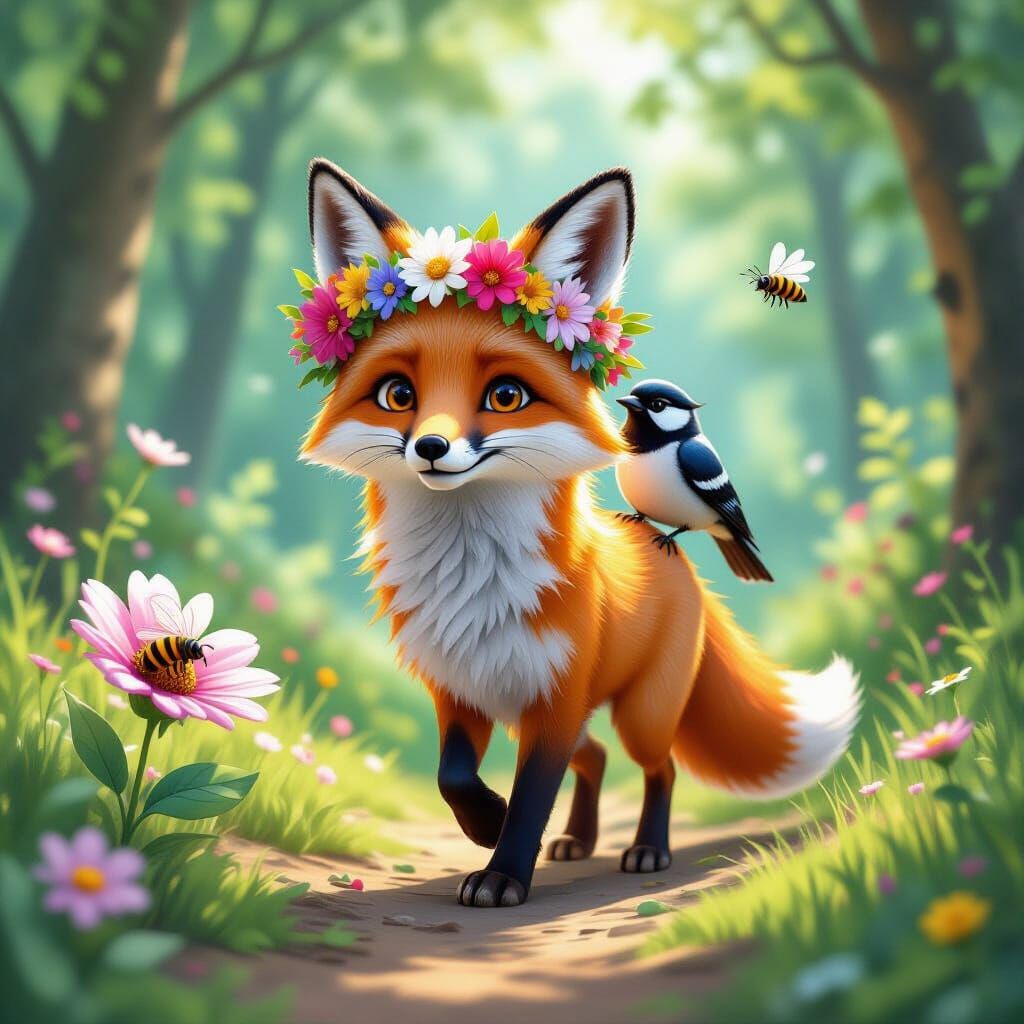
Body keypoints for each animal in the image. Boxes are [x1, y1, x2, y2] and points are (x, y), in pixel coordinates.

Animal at [299, 159, 860, 908]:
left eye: (505, 396)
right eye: (398, 395)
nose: (432, 449)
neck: (472, 579)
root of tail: (689, 577)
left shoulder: (554, 700)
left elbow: (535, 794)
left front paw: (504, 872)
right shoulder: (461, 691)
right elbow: (454, 778)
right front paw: (486, 824)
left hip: (642, 714)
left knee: (659, 768)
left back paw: (647, 849)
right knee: (594, 759)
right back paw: (579, 840)